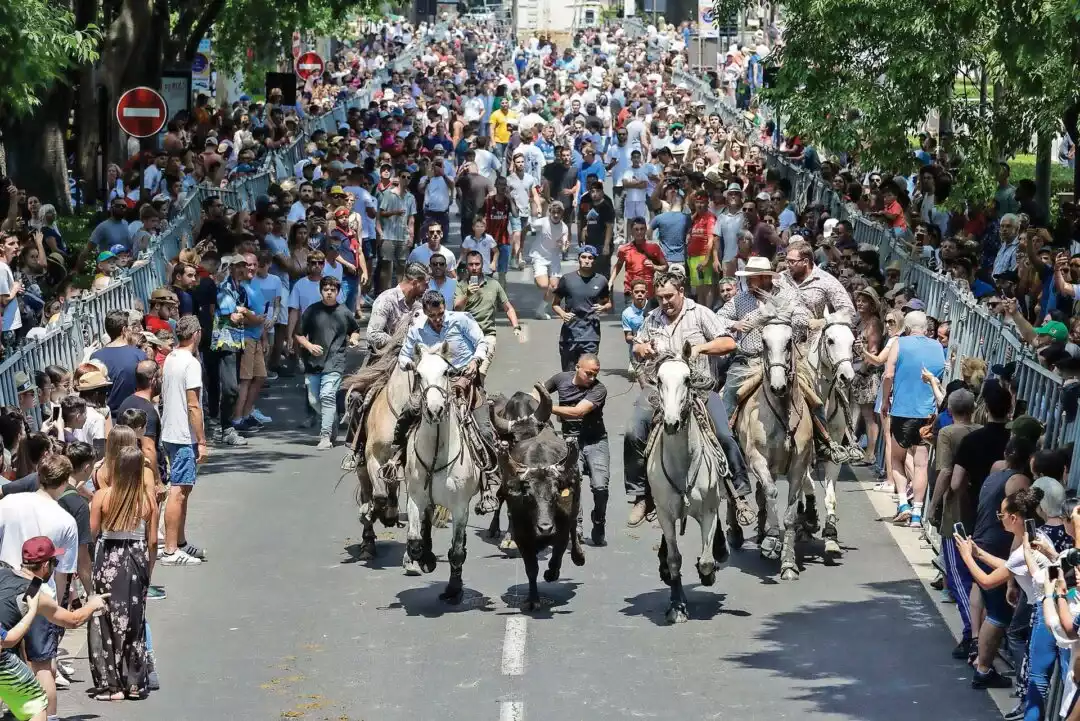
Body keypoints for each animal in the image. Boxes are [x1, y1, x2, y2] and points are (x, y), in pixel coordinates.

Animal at [403, 343, 483, 604]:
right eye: (418, 374)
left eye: (447, 372)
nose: (435, 410)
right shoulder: (415, 498)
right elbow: (415, 540)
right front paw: (424, 559)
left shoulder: (460, 506)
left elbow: (456, 551)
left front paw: (453, 589)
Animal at [492, 386, 587, 613]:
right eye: (529, 496)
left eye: (554, 495)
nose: (545, 527)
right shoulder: (523, 535)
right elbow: (531, 568)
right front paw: (533, 599)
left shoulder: (561, 529)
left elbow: (557, 555)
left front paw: (551, 574)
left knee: (574, 526)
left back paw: (578, 556)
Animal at [643, 341, 730, 621]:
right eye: (659, 380)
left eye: (687, 378)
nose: (671, 423)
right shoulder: (665, 513)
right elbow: (674, 559)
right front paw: (677, 605)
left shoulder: (708, 510)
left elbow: (705, 560)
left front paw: (708, 573)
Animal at [738, 302, 812, 578]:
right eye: (764, 341)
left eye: (789, 341)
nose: (778, 386)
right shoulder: (757, 459)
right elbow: (770, 491)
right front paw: (771, 540)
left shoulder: (799, 467)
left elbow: (790, 513)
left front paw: (788, 563)